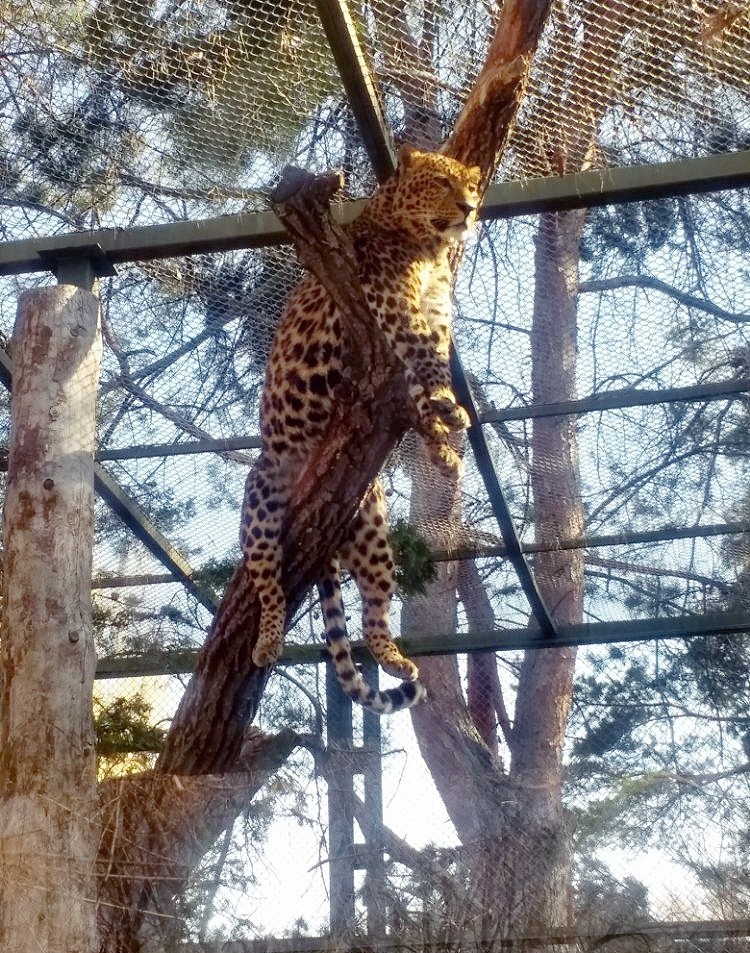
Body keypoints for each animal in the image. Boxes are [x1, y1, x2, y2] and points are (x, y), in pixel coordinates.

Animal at [242, 145, 482, 712]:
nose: (468, 208)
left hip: (372, 529)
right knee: (267, 581)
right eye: (441, 183)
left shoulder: (432, 318)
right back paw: (267, 641)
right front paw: (451, 409)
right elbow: (427, 364)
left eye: (471, 187)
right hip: (263, 499)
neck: (431, 250)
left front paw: (443, 445)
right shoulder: (398, 309)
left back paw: (396, 659)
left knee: (374, 610)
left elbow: (423, 382)